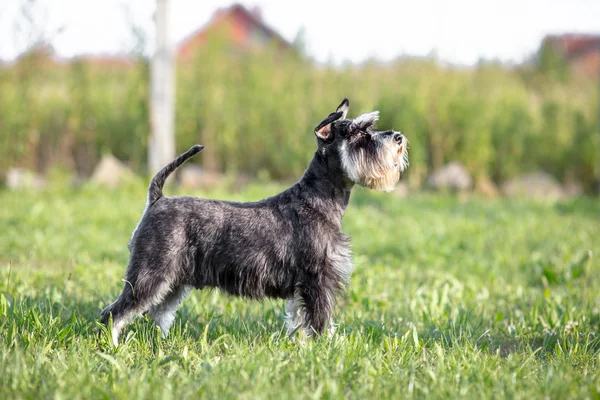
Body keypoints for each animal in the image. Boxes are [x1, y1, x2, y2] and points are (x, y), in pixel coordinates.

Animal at [101, 98, 408, 346]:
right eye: (357, 132)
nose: (398, 137)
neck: (317, 200)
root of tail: (157, 199)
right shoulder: (317, 280)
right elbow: (320, 321)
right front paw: (327, 349)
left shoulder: (303, 287)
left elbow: (300, 319)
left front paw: (302, 347)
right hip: (149, 274)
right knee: (113, 313)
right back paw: (112, 348)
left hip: (172, 280)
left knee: (158, 313)